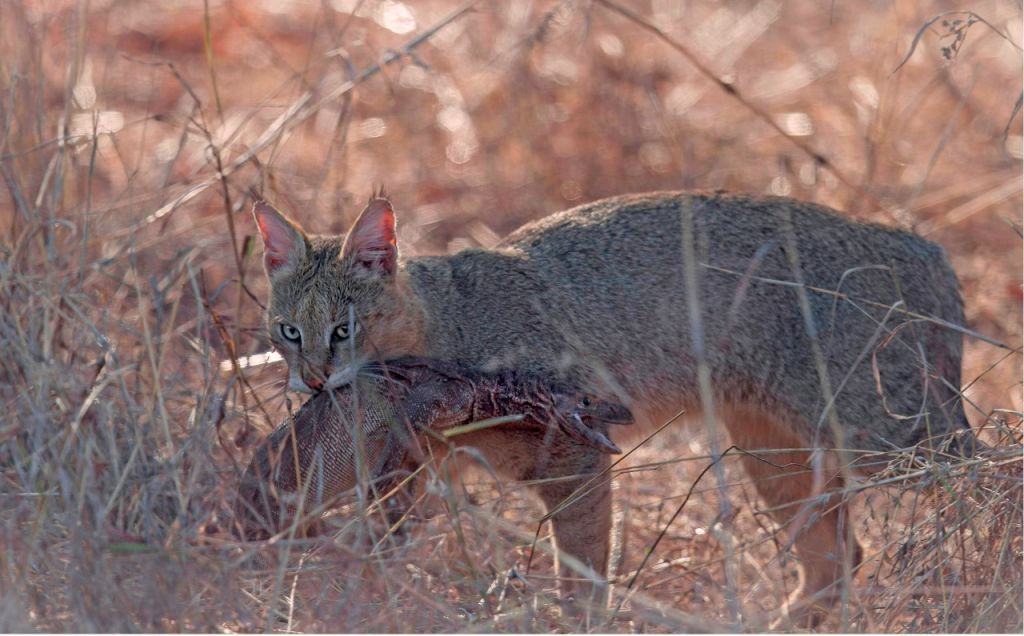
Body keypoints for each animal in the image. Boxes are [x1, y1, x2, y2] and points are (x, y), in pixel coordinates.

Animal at [251, 187, 970, 618]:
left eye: (343, 329)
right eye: (289, 332)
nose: (313, 381)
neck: (448, 326)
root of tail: (925, 246)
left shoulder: (577, 460)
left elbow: (583, 578)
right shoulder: (409, 479)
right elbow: (375, 558)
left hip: (892, 441)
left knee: (978, 485)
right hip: (779, 455)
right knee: (839, 559)